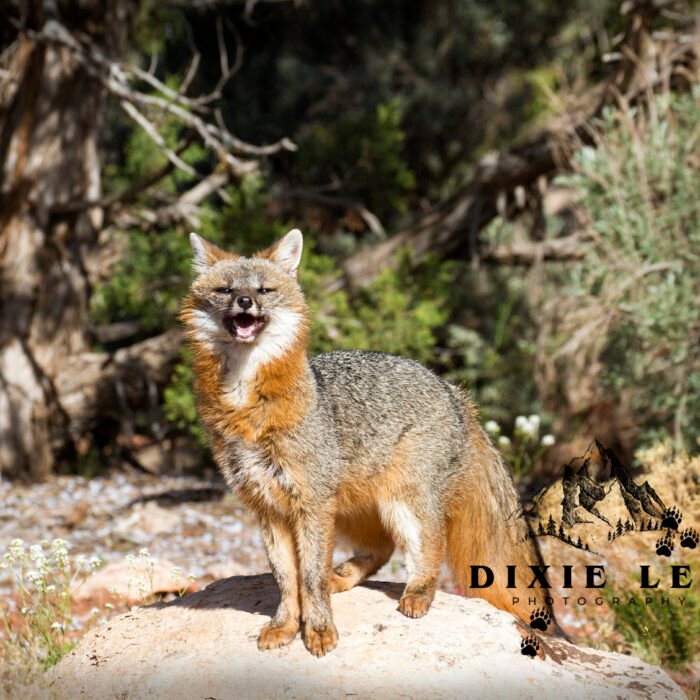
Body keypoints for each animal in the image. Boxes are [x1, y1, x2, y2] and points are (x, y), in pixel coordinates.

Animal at [181, 228, 554, 657]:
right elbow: (287, 580)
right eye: (226, 290)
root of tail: (454, 392)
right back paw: (342, 577)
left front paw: (319, 630)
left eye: (264, 290)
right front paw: (285, 625)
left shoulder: (310, 504)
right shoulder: (268, 508)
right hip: (351, 512)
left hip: (400, 501)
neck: (247, 404)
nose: (245, 301)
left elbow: (308, 577)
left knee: (432, 544)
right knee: (381, 550)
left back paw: (417, 592)